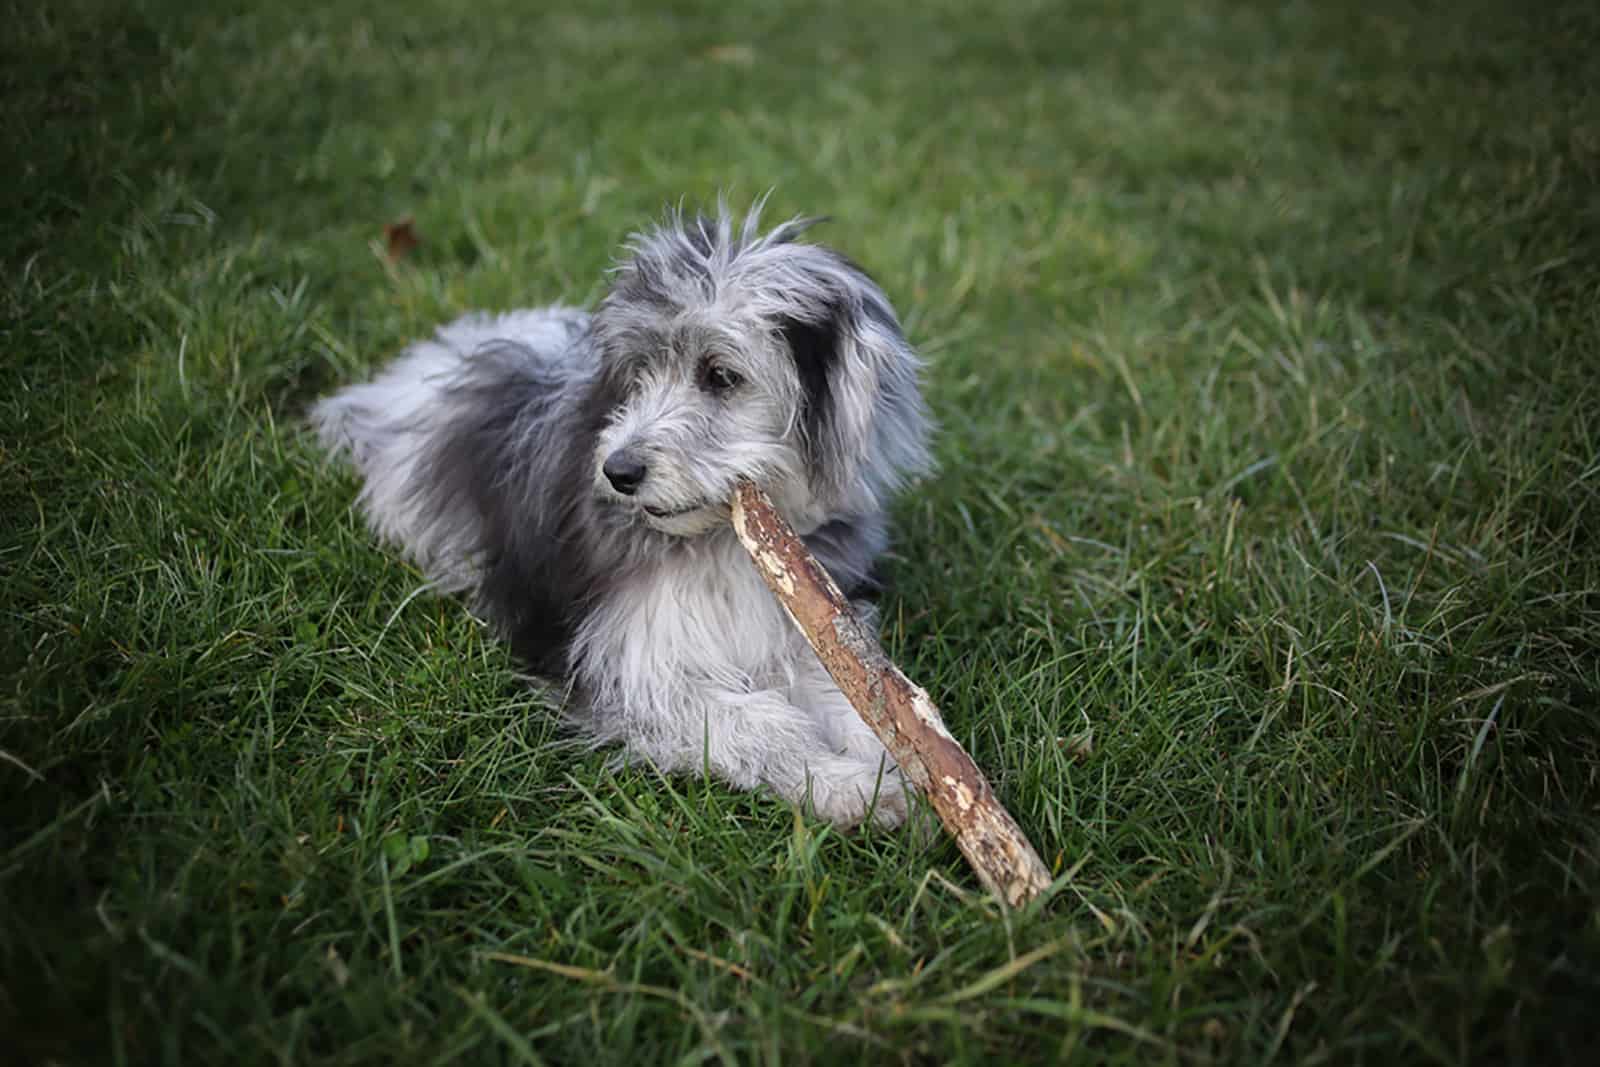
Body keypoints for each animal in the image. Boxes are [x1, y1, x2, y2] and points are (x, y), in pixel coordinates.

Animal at [312, 204, 934, 831]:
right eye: (639, 375)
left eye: (720, 375)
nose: (618, 471)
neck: (719, 543)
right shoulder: (627, 664)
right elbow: (758, 724)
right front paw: (846, 786)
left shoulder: (802, 632)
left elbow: (858, 701)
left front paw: (899, 771)